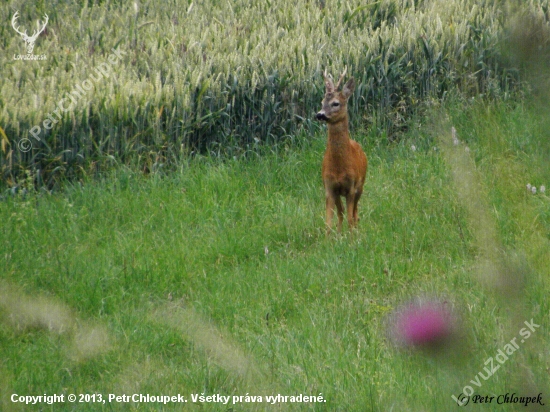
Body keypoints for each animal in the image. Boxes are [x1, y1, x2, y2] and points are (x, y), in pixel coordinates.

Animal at [316, 68, 368, 235]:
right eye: (322, 102)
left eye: (335, 103)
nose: (320, 114)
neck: (339, 167)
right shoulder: (329, 187)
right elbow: (328, 222)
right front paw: (331, 239)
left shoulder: (351, 187)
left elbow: (351, 219)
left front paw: (352, 239)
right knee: (341, 212)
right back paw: (339, 234)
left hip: (360, 186)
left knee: (355, 214)